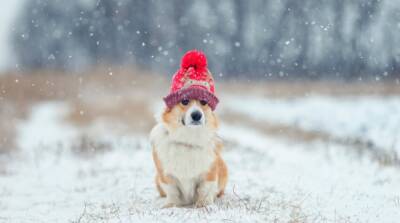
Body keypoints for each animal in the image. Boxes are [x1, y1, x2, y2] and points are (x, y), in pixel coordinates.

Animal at [149, 50, 227, 207]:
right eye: (184, 101)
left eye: (203, 102)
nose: (196, 115)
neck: (188, 138)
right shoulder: (166, 175)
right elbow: (172, 191)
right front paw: (170, 205)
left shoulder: (208, 173)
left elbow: (205, 189)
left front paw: (203, 204)